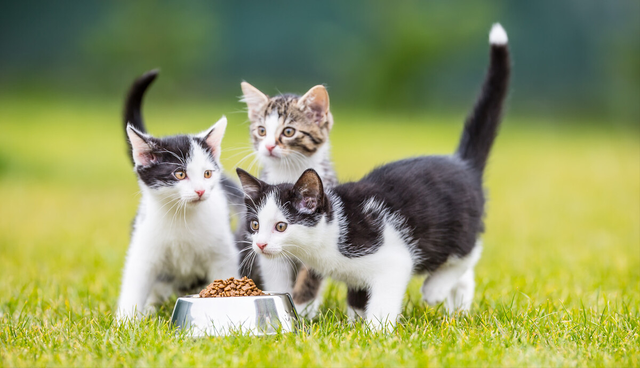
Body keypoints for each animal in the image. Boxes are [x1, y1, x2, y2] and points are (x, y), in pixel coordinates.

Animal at [115, 71, 238, 320]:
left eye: (207, 173)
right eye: (180, 174)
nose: (200, 190)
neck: (183, 218)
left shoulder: (223, 254)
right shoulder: (144, 250)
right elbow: (134, 284)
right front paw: (125, 323)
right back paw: (151, 308)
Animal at [239, 82, 340, 316]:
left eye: (288, 131)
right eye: (261, 130)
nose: (268, 146)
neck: (290, 173)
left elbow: (311, 274)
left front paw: (302, 309)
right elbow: (275, 270)